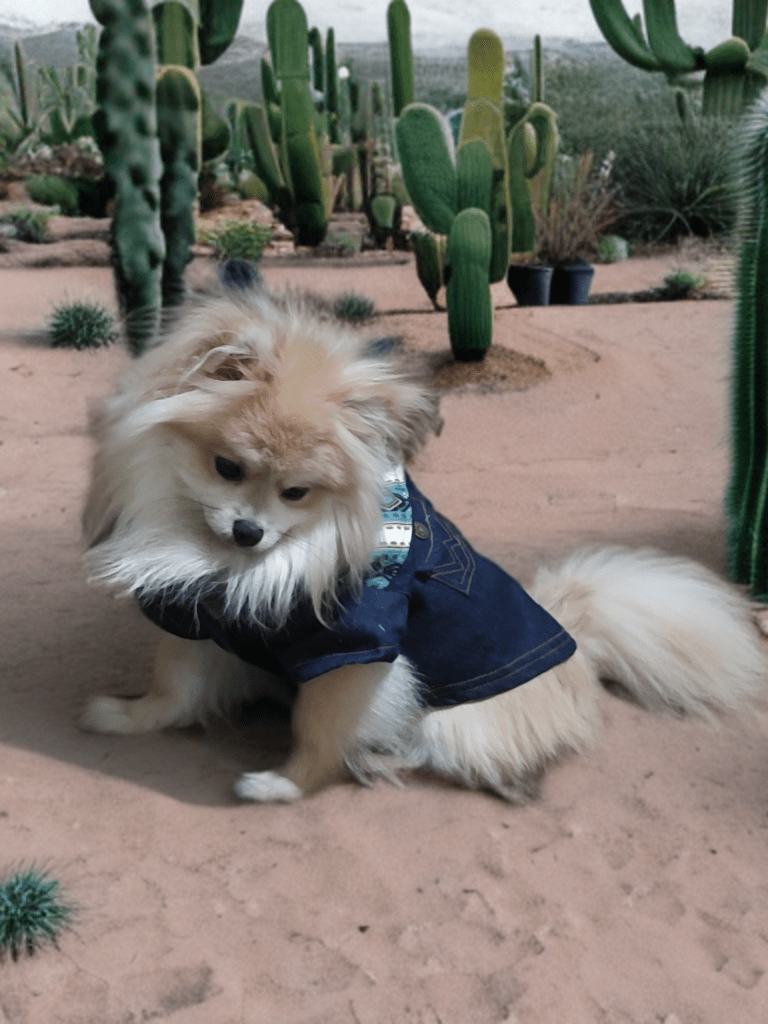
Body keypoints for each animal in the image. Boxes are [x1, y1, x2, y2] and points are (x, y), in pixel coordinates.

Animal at [81, 283, 768, 803]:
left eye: (297, 493)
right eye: (227, 468)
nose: (248, 530)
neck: (249, 562)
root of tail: (576, 647)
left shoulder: (356, 651)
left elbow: (319, 731)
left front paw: (283, 784)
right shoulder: (198, 611)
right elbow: (174, 686)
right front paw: (127, 717)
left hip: (456, 723)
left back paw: (385, 760)